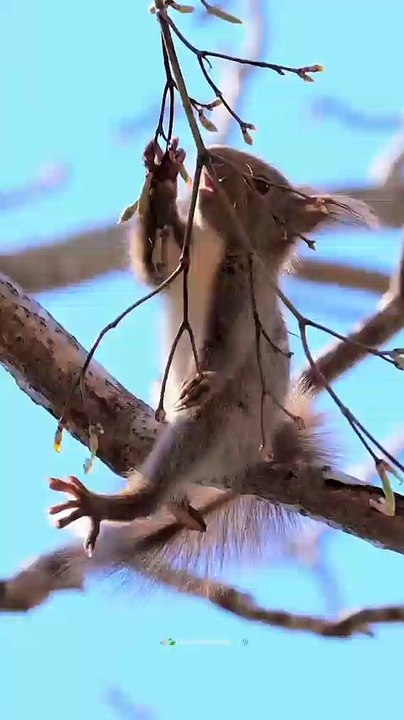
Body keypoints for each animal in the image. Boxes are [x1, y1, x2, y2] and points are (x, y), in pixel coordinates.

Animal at [0, 141, 378, 611]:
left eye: (262, 185)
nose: (211, 156)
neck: (217, 244)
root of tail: (261, 451)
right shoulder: (179, 260)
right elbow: (152, 263)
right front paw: (161, 177)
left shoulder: (242, 297)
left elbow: (227, 348)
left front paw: (205, 378)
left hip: (217, 426)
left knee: (167, 471)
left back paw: (110, 506)